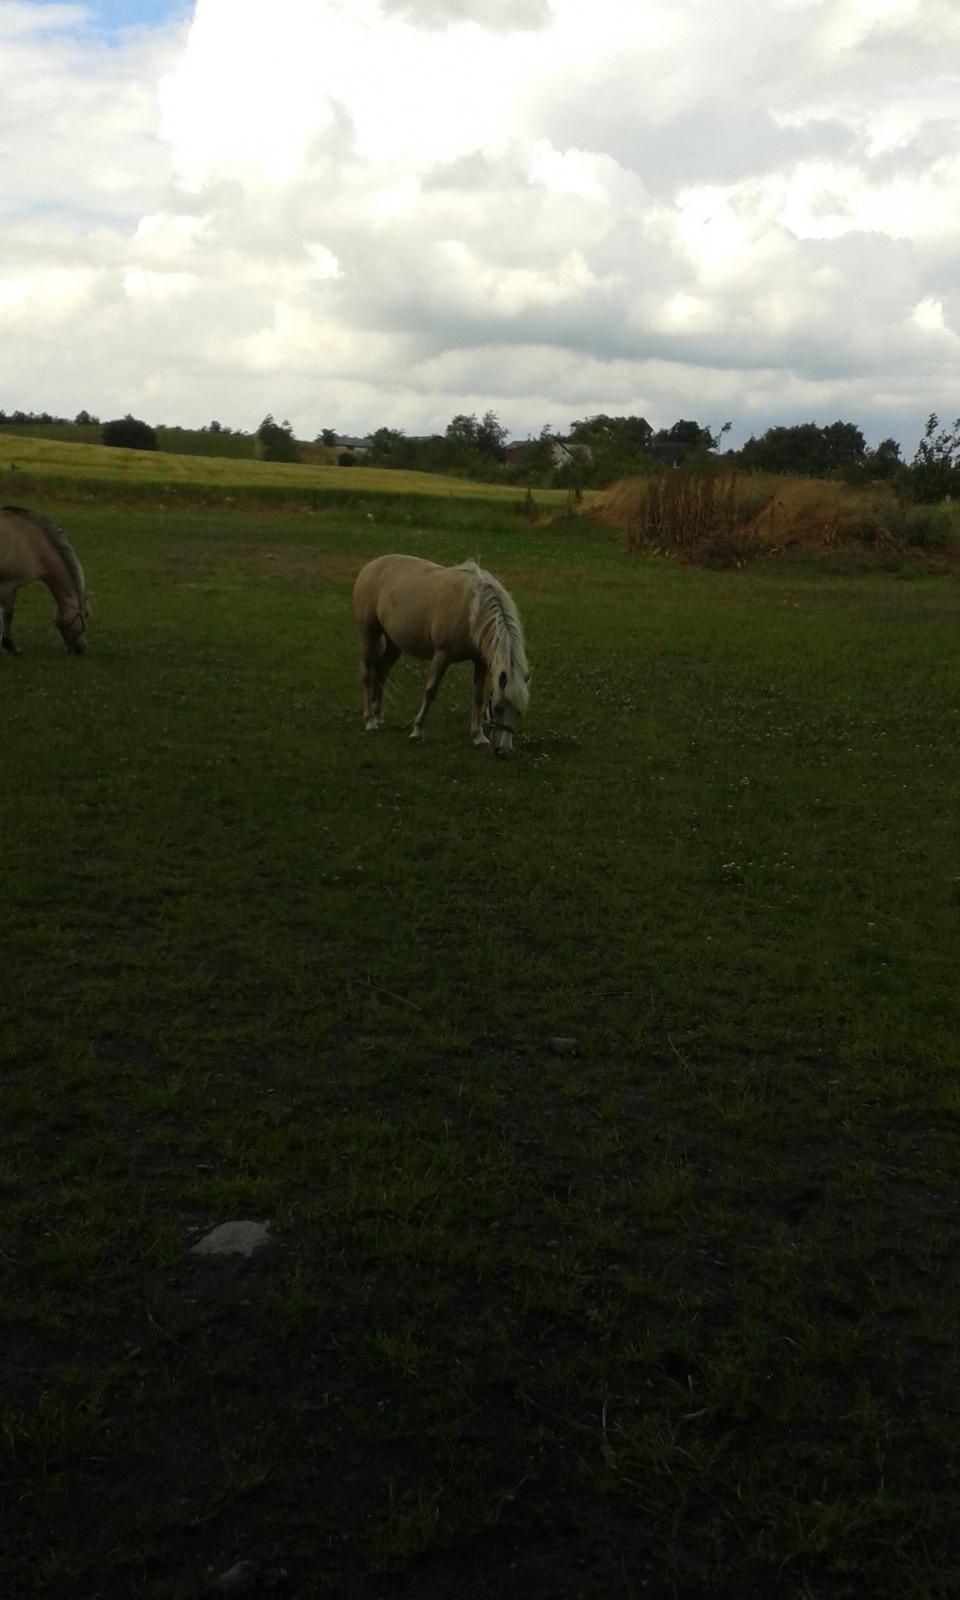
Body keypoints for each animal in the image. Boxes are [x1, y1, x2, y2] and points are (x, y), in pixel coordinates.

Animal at [0, 499, 89, 649]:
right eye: (85, 615)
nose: (81, 648)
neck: (29, 542)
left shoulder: (13, 584)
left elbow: (9, 612)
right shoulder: (5, 585)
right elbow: (5, 613)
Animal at [353, 553, 531, 758]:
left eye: (519, 712)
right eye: (498, 708)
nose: (504, 751)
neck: (474, 610)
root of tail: (370, 566)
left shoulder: (480, 662)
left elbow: (478, 697)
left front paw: (478, 737)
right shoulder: (442, 655)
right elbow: (430, 691)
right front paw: (417, 730)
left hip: (394, 643)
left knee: (381, 671)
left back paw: (378, 716)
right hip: (368, 633)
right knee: (367, 674)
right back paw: (370, 721)